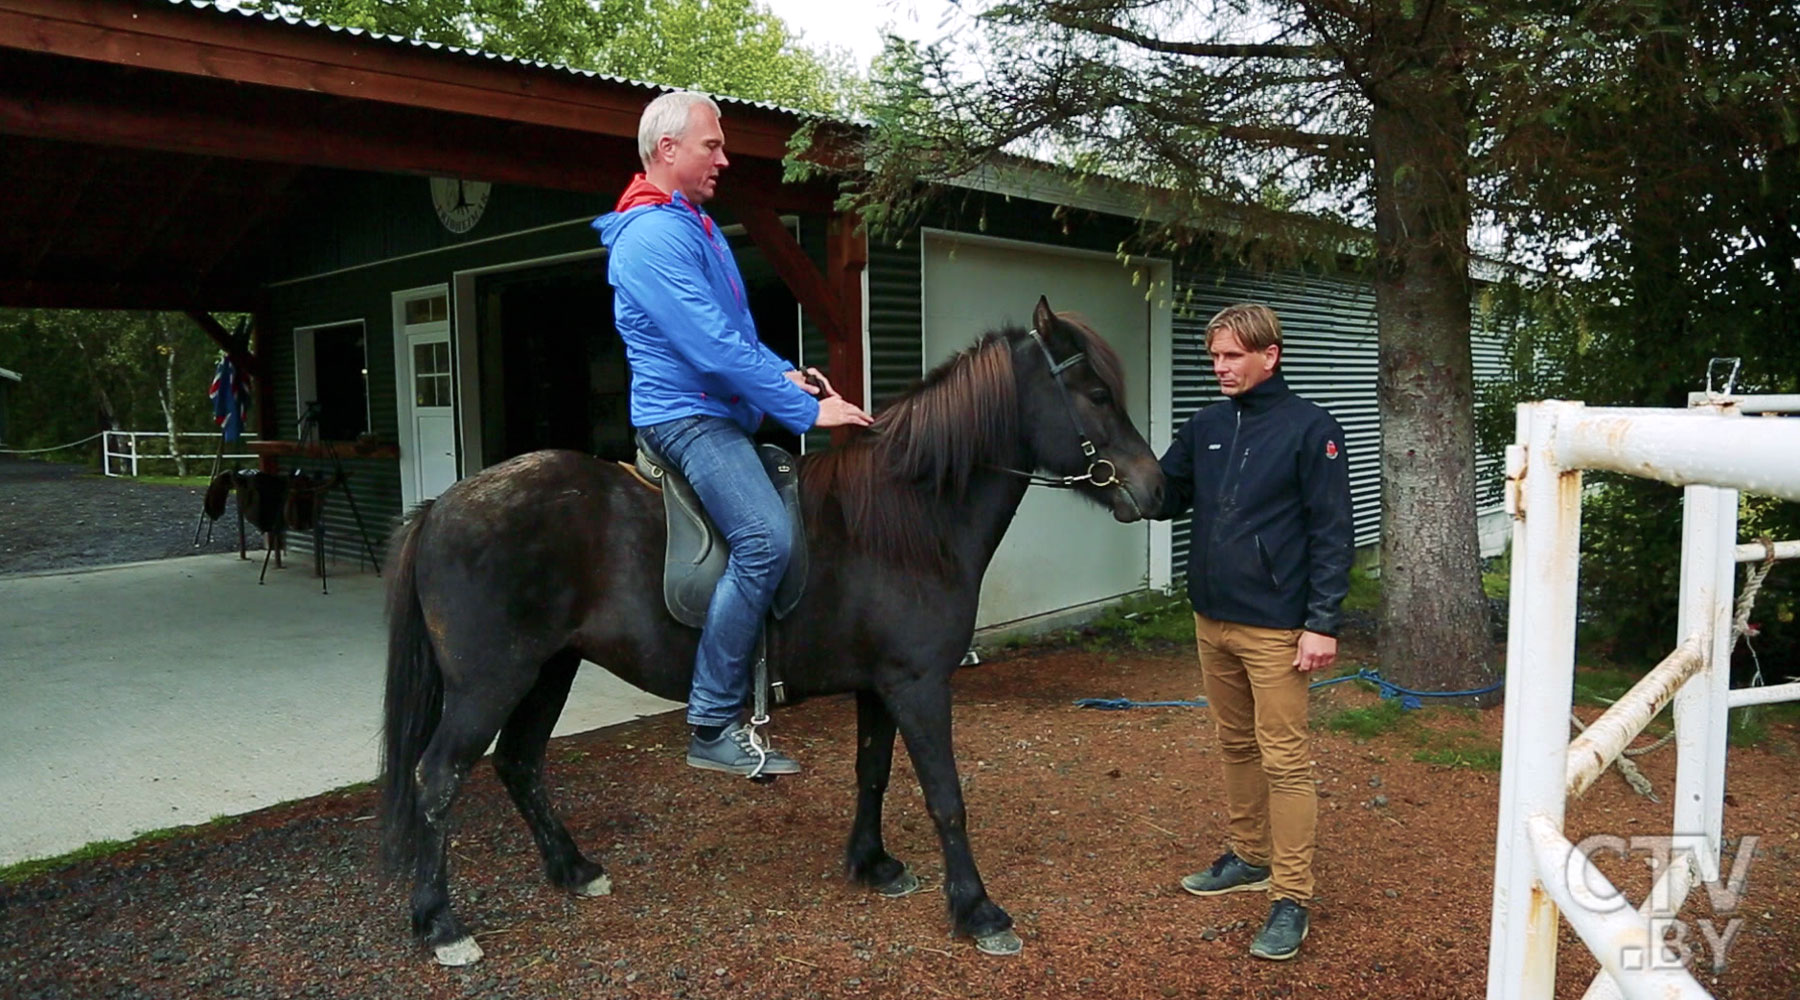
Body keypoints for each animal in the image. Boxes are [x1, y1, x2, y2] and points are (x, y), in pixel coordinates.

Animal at [379, 296, 1166, 964]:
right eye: (1096, 394)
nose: (1157, 488)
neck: (905, 522)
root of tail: (443, 506)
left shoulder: (881, 686)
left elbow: (873, 773)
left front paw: (872, 863)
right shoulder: (918, 684)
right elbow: (946, 797)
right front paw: (978, 911)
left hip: (549, 669)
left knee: (519, 763)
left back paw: (572, 869)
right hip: (492, 680)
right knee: (437, 777)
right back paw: (440, 923)